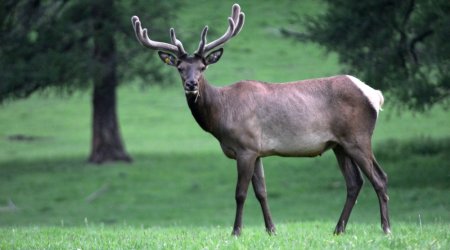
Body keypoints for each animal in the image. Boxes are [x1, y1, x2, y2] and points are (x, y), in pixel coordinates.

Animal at [131, 2, 390, 235]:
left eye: (203, 67)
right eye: (180, 68)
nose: (191, 84)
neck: (221, 116)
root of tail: (376, 95)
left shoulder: (245, 146)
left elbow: (240, 193)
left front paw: (236, 231)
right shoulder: (257, 150)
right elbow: (262, 191)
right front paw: (271, 230)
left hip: (358, 136)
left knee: (379, 177)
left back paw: (385, 228)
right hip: (339, 144)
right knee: (355, 182)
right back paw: (338, 229)